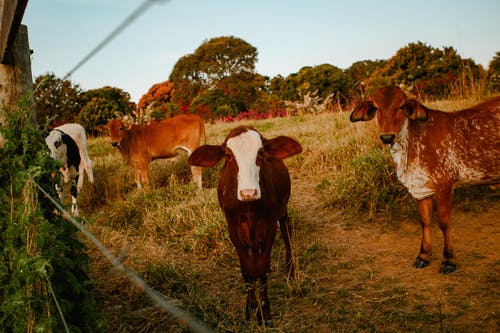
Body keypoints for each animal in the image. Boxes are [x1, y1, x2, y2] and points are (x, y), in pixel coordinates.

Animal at [188, 124, 302, 324]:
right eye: (228, 155)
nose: (249, 192)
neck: (249, 209)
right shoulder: (233, 230)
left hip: (282, 211)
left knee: (286, 231)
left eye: (261, 152)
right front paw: (251, 308)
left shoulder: (269, 227)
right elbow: (247, 270)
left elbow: (261, 272)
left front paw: (265, 313)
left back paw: (290, 271)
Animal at [350, 85, 500, 272]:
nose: (387, 137)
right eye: (376, 107)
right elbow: (425, 221)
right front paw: (423, 256)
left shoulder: (444, 184)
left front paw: (449, 260)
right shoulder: (420, 188)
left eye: (401, 106)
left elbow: (443, 222)